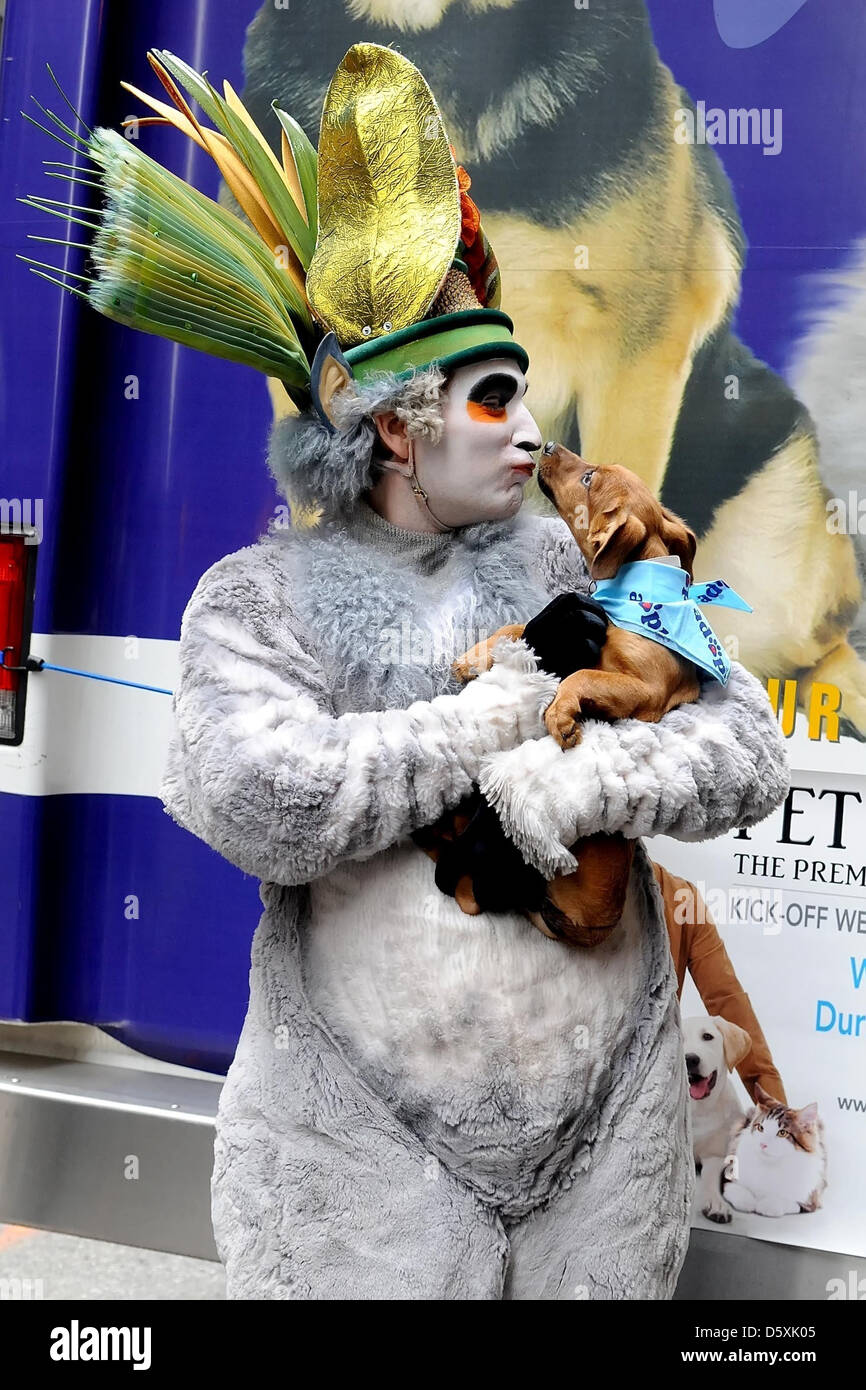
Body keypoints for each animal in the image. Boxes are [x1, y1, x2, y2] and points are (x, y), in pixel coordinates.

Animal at [450, 444, 708, 945]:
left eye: (590, 479)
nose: (544, 446)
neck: (631, 595)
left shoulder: (643, 690)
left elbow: (581, 677)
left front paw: (562, 716)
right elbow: (519, 628)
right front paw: (476, 655)